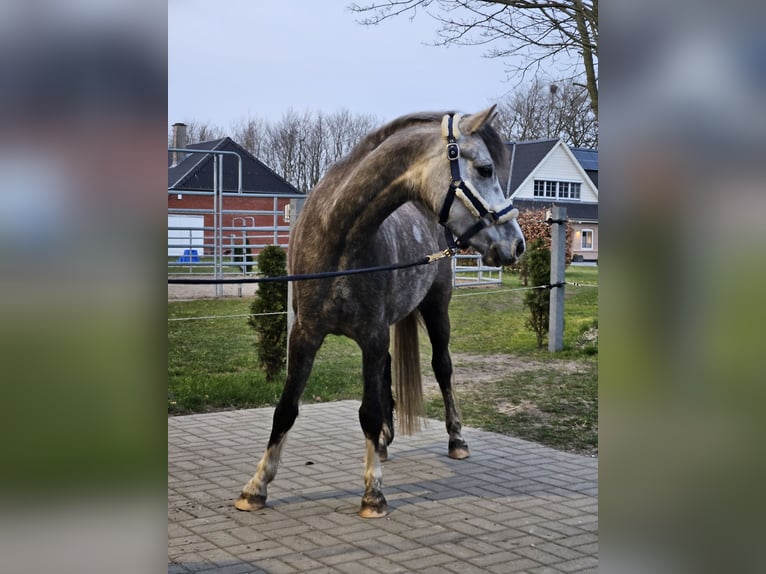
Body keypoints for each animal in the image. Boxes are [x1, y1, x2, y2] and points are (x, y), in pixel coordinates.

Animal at [235, 106, 525, 518]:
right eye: (485, 169)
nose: (516, 244)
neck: (338, 238)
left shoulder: (371, 335)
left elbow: (368, 411)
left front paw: (373, 493)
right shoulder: (306, 335)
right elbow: (286, 408)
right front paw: (256, 486)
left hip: (436, 310)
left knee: (443, 367)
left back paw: (456, 440)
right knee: (390, 370)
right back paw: (385, 443)